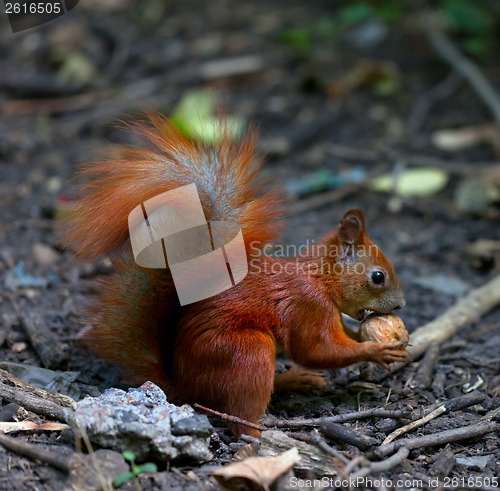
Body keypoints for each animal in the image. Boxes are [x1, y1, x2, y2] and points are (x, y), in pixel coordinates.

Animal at [63, 114, 406, 438]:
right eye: (378, 276)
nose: (401, 305)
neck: (321, 278)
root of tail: (183, 387)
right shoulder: (308, 306)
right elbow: (315, 350)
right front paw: (377, 350)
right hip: (246, 351)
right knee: (240, 414)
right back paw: (259, 434)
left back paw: (293, 380)